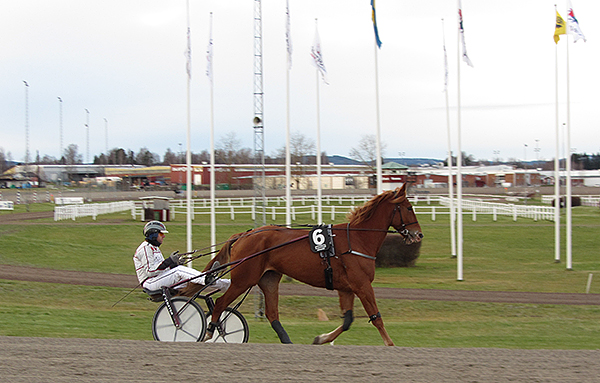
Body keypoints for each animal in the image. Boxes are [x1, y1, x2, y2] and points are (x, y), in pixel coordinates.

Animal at [199, 186, 420, 348]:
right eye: (409, 207)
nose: (419, 234)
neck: (356, 239)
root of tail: (245, 234)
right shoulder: (362, 285)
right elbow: (376, 317)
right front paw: (390, 344)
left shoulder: (346, 288)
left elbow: (347, 321)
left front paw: (321, 339)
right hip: (244, 279)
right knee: (220, 303)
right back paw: (210, 332)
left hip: (268, 278)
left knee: (272, 314)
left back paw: (287, 342)